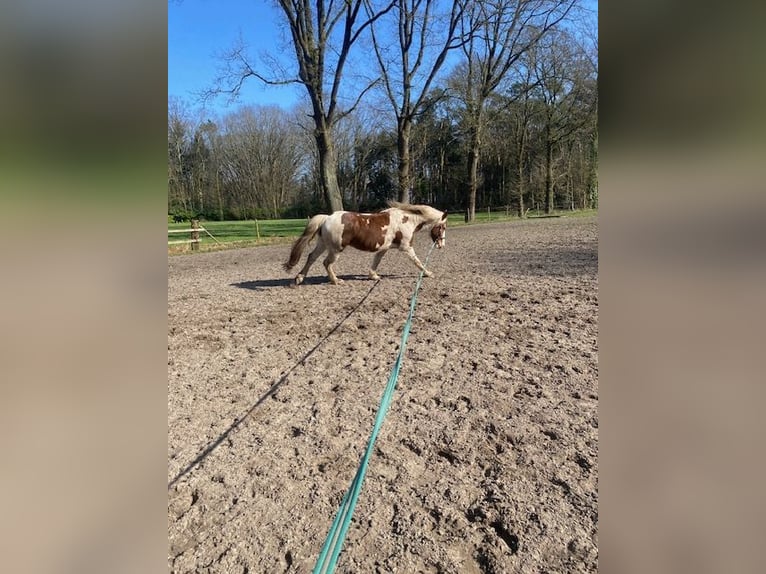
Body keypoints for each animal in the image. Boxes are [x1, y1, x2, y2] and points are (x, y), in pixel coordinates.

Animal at [284, 201, 448, 285]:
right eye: (443, 227)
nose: (441, 246)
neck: (407, 220)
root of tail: (327, 218)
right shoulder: (406, 247)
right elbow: (418, 262)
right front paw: (429, 273)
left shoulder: (384, 248)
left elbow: (376, 260)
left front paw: (374, 276)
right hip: (336, 249)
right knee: (326, 263)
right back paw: (336, 280)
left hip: (323, 244)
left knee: (311, 257)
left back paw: (299, 278)